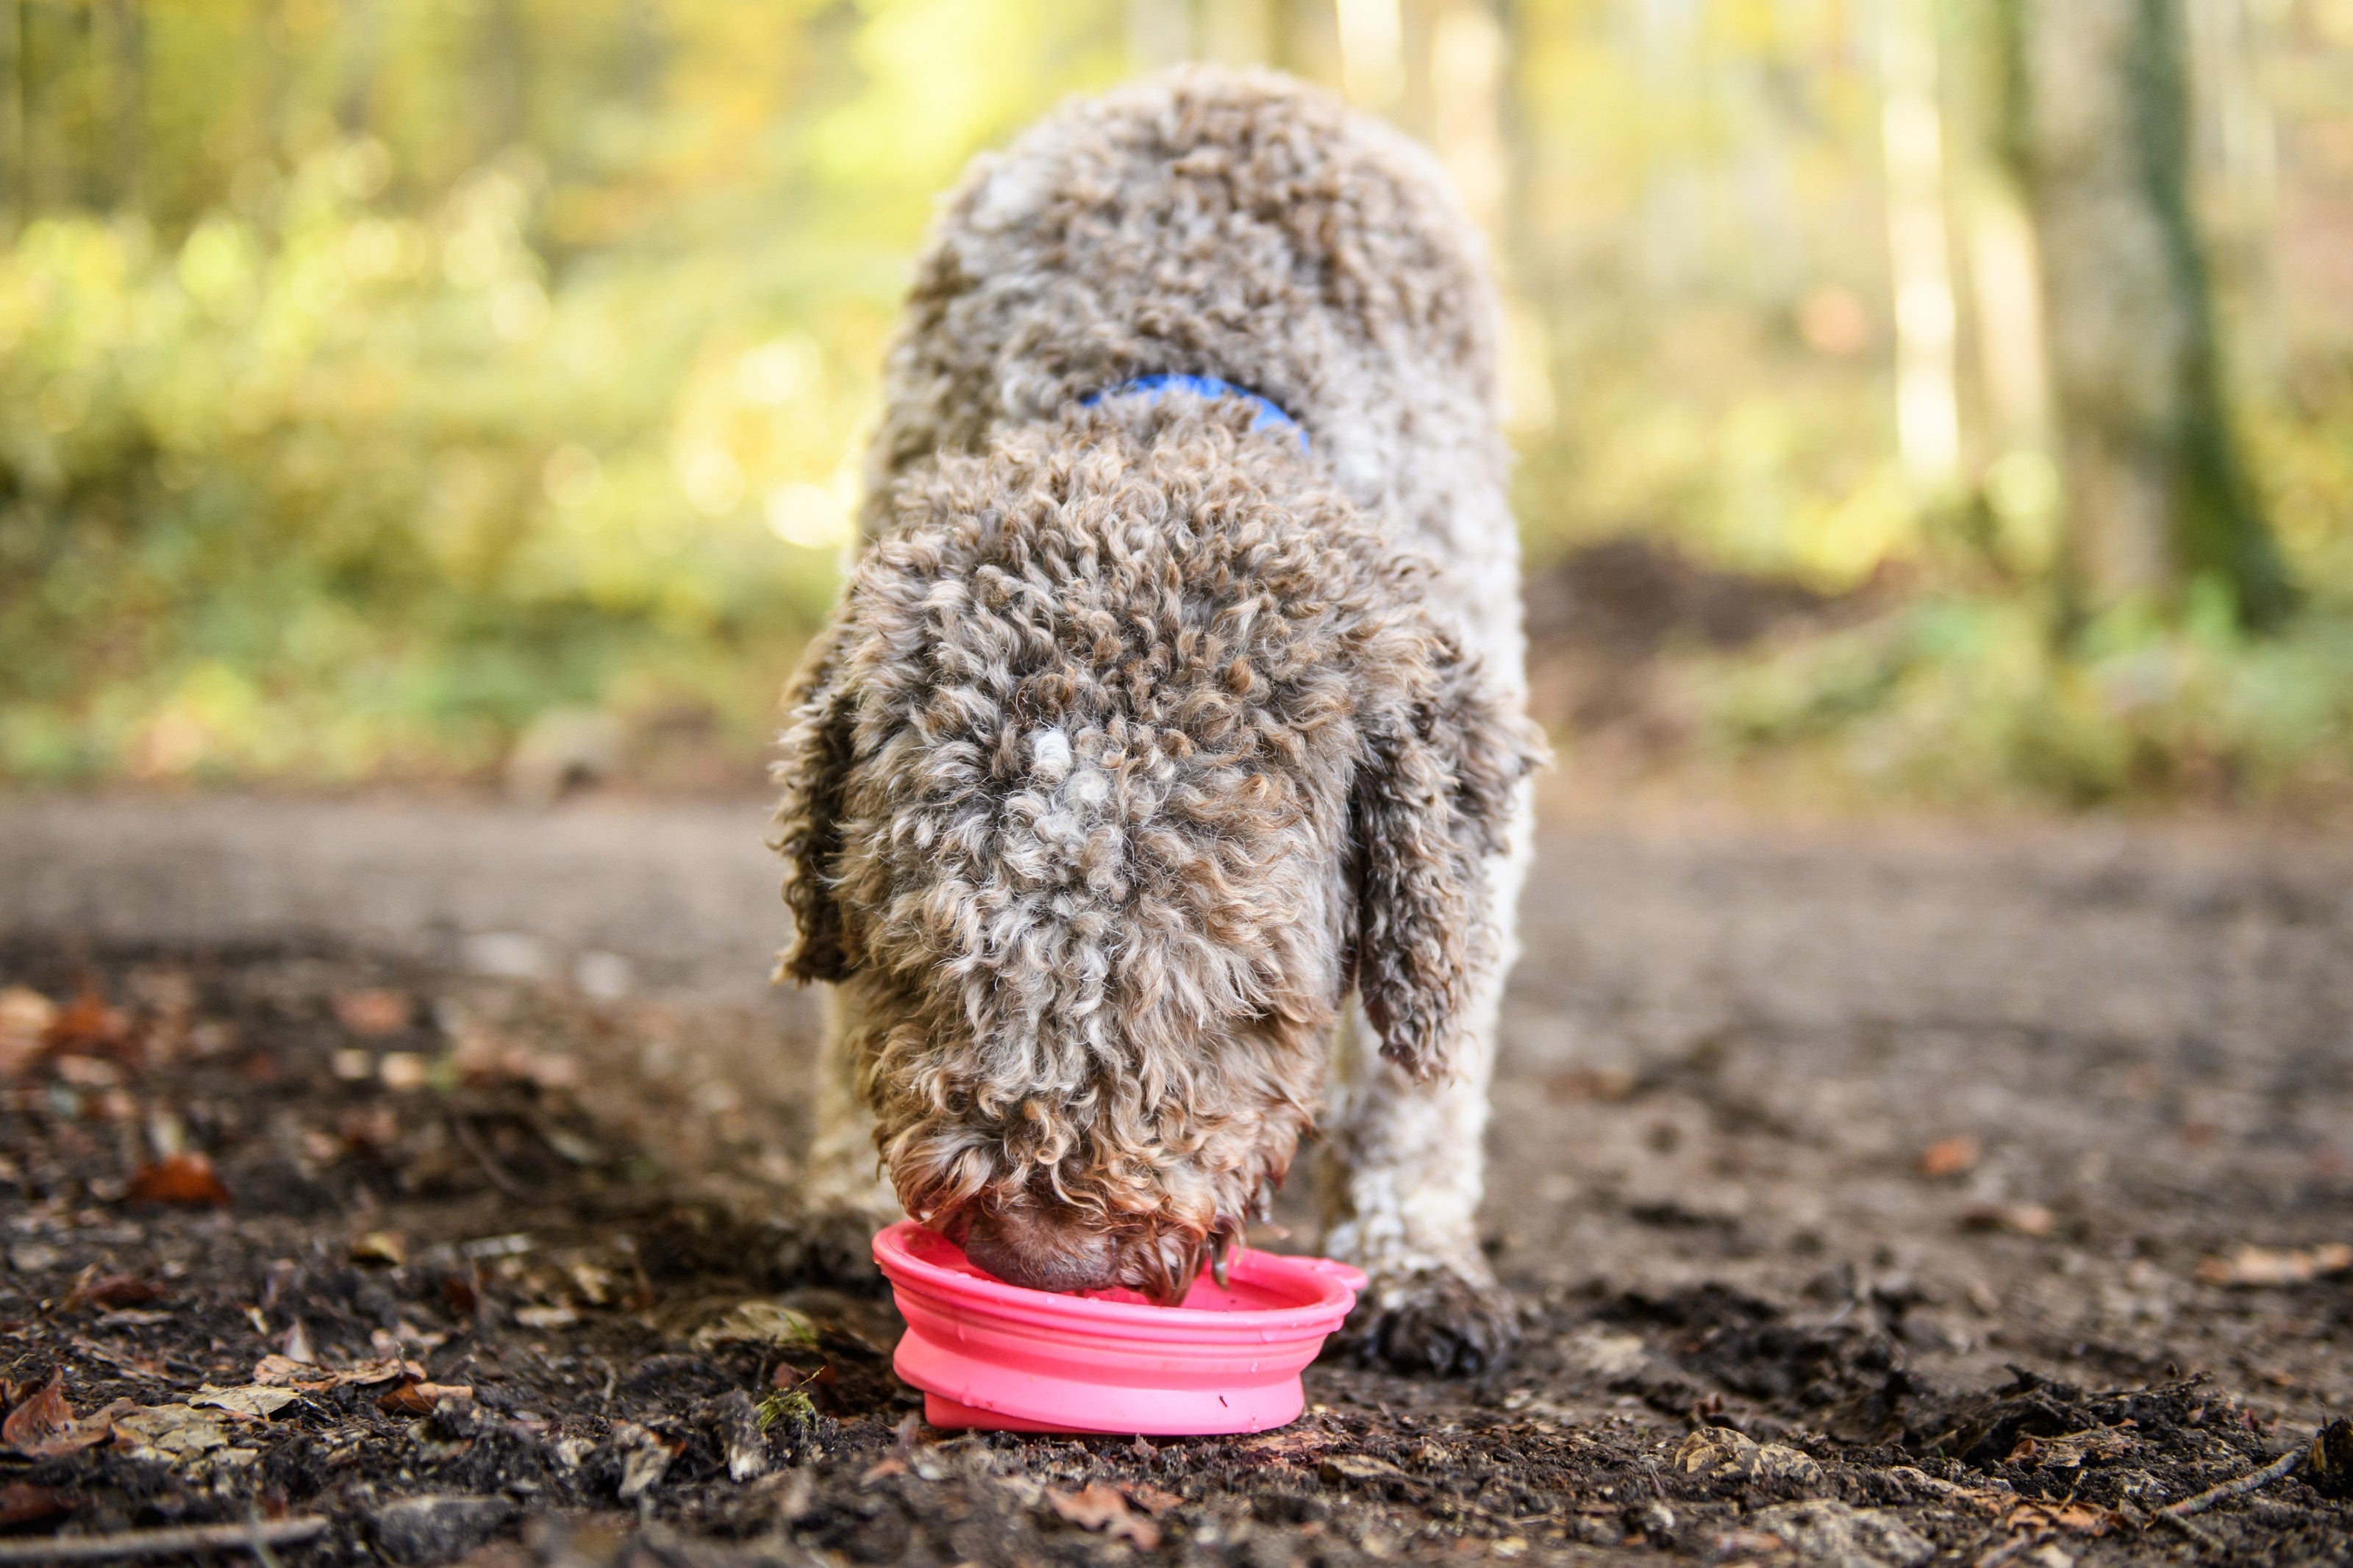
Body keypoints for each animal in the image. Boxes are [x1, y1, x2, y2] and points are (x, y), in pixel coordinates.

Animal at [771, 64, 1543, 1372]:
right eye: (923, 960)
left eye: (1245, 1000)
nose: (1043, 1258)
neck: (1188, 353)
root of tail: (1230, 81)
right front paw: (835, 1190)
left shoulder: (1469, 820)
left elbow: (1428, 1055)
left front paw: (1417, 1260)